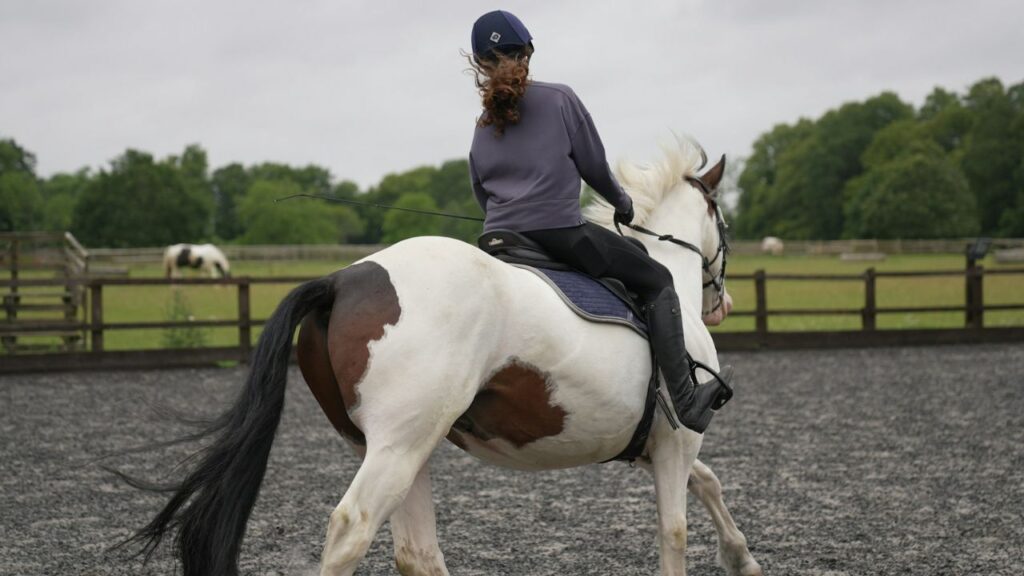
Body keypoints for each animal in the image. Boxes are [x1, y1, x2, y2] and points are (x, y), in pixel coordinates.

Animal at [125, 137, 762, 576]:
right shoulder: (677, 440)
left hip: (400, 448)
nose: (724, 304)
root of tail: (340, 280)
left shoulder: (653, 443)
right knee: (352, 531)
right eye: (724, 221)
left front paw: (742, 559)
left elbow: (708, 484)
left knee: (417, 553)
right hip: (399, 448)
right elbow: (675, 530)